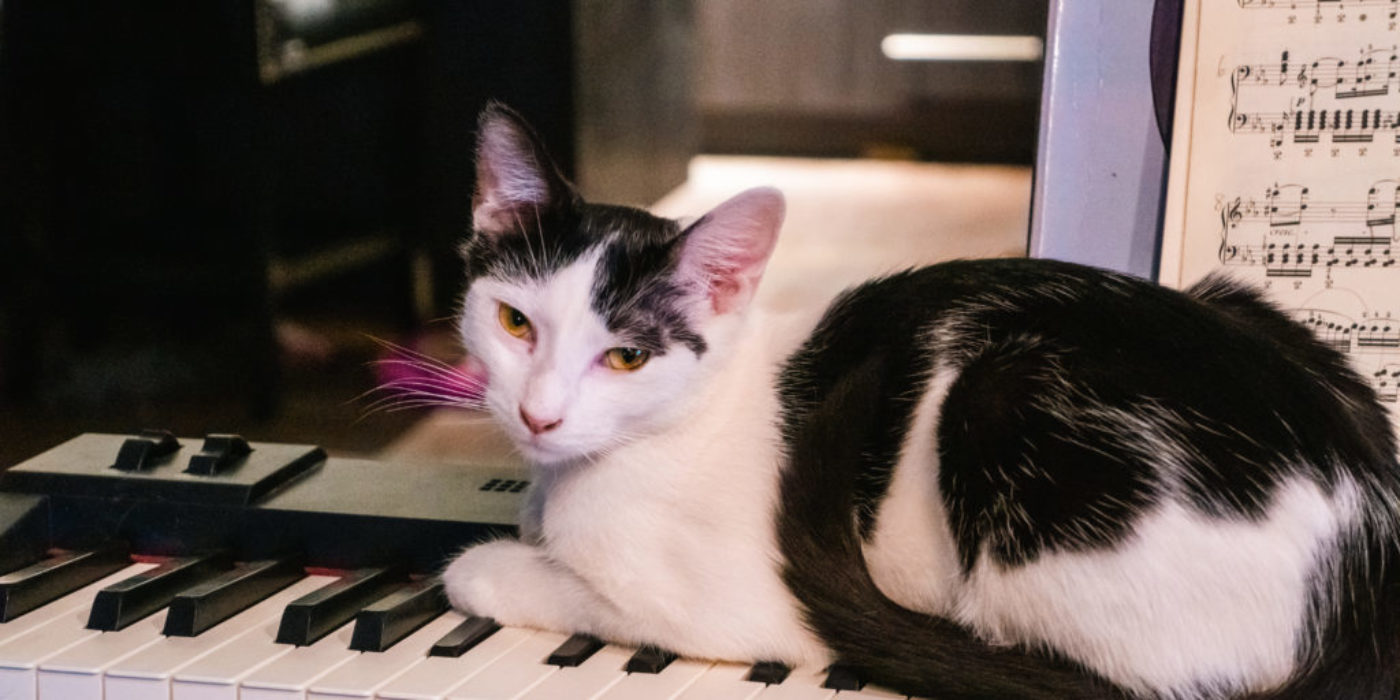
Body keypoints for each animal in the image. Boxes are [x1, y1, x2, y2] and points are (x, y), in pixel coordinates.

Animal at [436, 103, 1400, 700]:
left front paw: (484, 568)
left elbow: (558, 588)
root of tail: (1369, 541)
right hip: (1234, 295)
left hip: (1002, 399)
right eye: (515, 321)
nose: (539, 416)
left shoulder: (720, 605)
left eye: (627, 356)